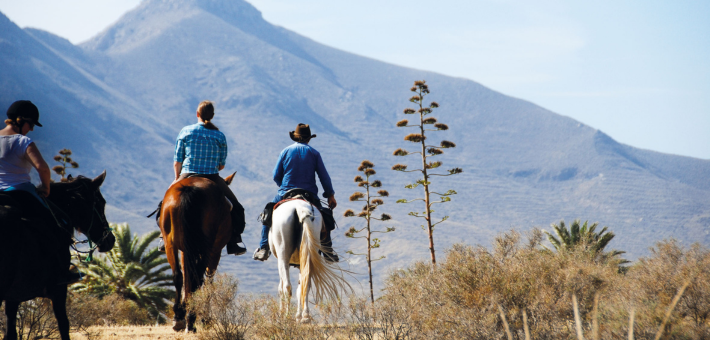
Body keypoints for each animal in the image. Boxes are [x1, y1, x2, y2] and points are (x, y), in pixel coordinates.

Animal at [0, 171, 115, 340]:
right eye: (101, 203)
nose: (110, 240)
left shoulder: (13, 296)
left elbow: (10, 332)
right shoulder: (59, 289)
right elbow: (64, 325)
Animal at [156, 173, 236, 332]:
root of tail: (189, 189)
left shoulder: (185, 251)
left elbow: (187, 277)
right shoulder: (215, 251)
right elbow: (208, 280)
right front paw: (205, 318)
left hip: (170, 243)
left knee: (178, 276)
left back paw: (179, 317)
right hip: (207, 247)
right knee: (198, 278)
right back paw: (191, 318)